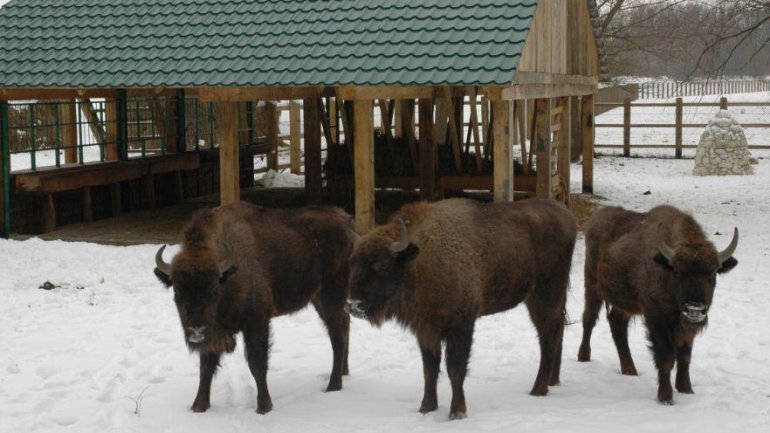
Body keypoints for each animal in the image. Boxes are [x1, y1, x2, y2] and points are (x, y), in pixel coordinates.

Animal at [153, 201, 352, 414]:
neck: (228, 276)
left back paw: (333, 385)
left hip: (331, 295)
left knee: (337, 335)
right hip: (319, 299)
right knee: (344, 325)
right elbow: (206, 367)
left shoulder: (256, 322)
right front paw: (198, 406)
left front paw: (264, 406)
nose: (196, 330)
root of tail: (345, 219)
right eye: (177, 291)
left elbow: (257, 364)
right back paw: (344, 372)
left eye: (214, 290)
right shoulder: (214, 334)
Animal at [344, 198, 572, 418]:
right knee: (558, 330)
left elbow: (455, 369)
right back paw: (553, 381)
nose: (353, 305)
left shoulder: (461, 326)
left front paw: (457, 412)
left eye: (383, 264)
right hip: (541, 298)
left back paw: (538, 389)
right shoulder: (426, 330)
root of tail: (566, 214)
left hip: (545, 296)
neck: (422, 259)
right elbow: (429, 369)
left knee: (548, 337)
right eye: (352, 263)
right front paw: (426, 408)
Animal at [580, 204, 736, 404]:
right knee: (589, 318)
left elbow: (685, 357)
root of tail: (597, 216)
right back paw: (584, 357)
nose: (694, 308)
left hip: (624, 303)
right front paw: (665, 397)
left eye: (713, 274)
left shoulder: (685, 328)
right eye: (677, 272)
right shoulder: (657, 319)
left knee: (617, 324)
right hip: (592, 283)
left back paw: (630, 370)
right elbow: (667, 358)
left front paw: (686, 389)